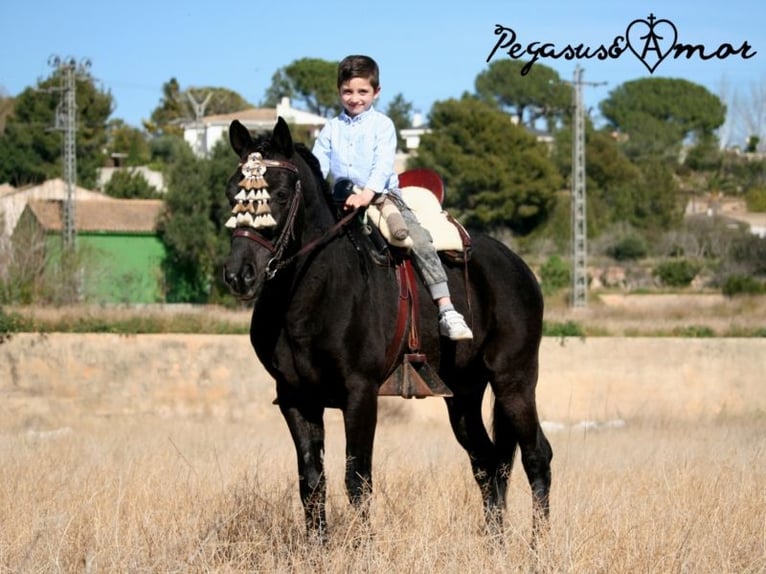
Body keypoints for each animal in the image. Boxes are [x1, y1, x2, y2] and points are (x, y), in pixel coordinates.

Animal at [222, 118, 552, 544]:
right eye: (232, 191)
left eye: (278, 194)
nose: (239, 274)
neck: (314, 292)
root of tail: (520, 267)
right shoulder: (296, 398)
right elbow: (312, 482)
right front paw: (317, 548)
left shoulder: (361, 395)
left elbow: (357, 480)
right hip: (463, 396)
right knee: (488, 462)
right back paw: (495, 544)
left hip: (515, 381)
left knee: (535, 456)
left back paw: (538, 546)